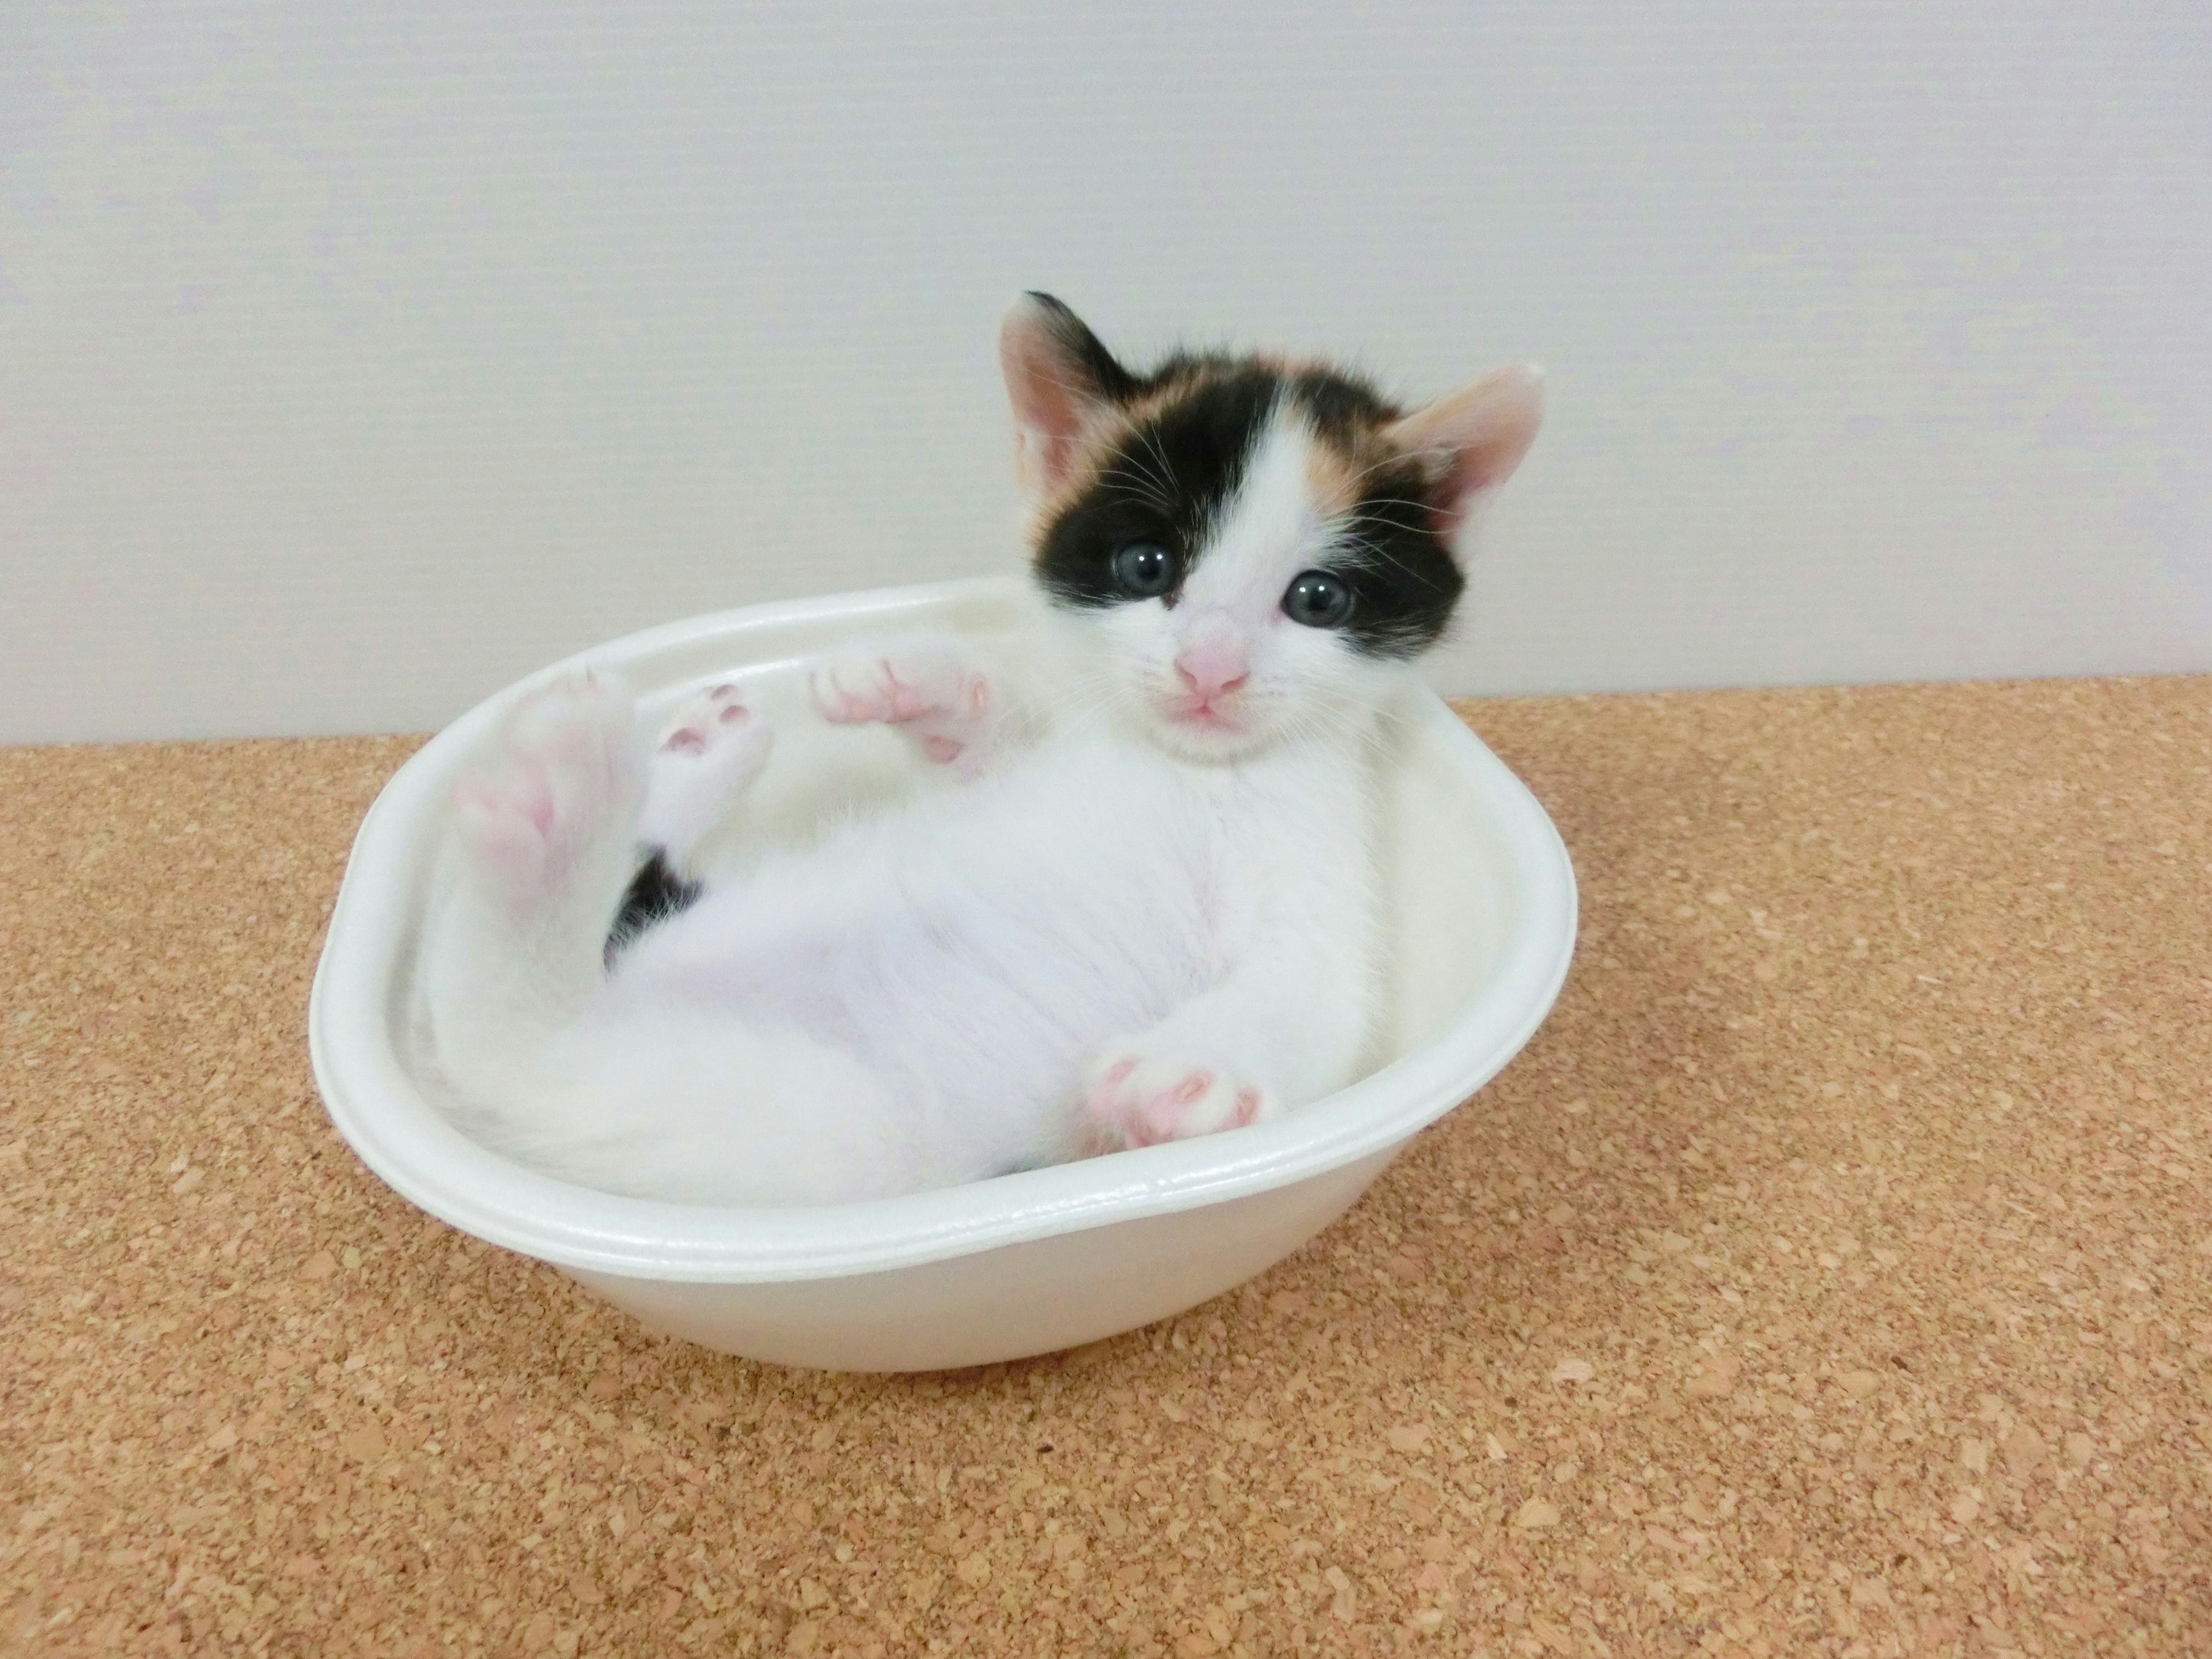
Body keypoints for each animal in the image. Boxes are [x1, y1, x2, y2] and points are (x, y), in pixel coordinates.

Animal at [415, 296, 1539, 1212]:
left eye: (1317, 599)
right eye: (1148, 566)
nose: (1210, 669)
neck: (1187, 769)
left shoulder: (1319, 903)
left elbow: (1310, 997)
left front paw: (1189, 1073)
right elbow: (988, 749)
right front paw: (917, 679)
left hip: (810, 1132)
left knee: (520, 1049)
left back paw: (566, 795)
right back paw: (680, 759)